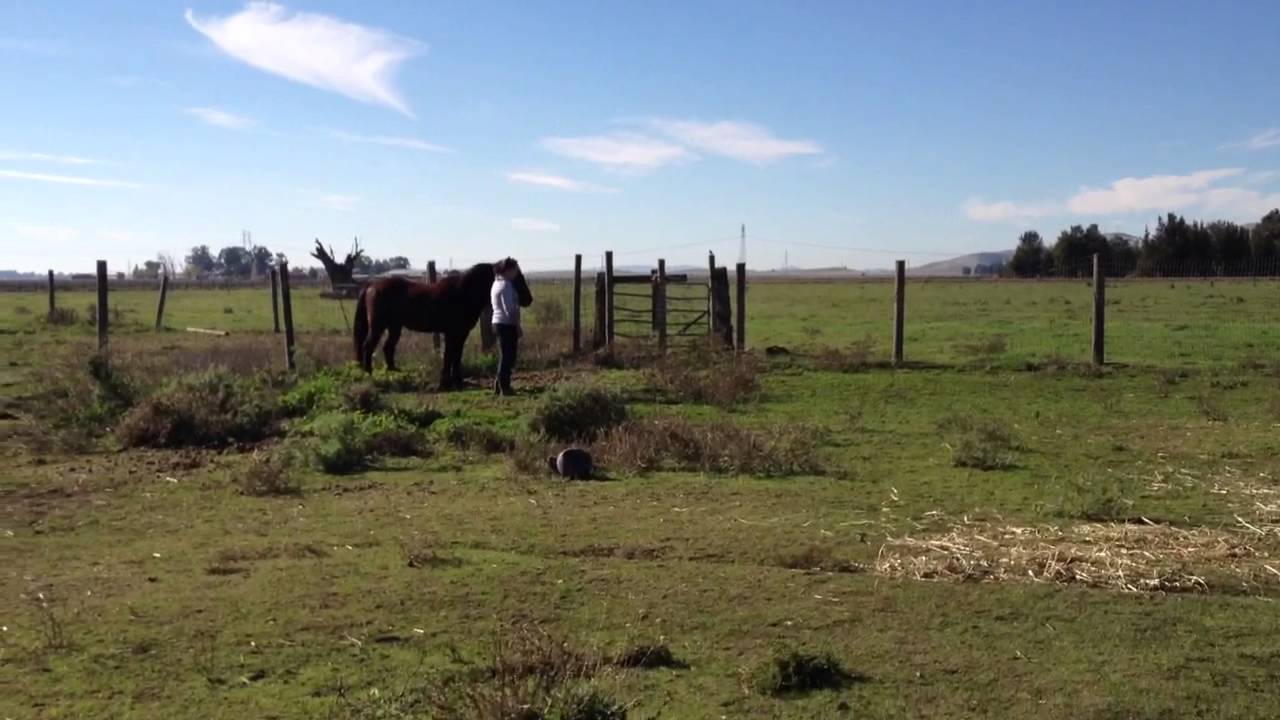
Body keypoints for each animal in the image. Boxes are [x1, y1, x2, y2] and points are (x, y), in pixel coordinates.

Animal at [352, 259, 533, 389]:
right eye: (517, 277)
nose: (529, 299)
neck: (462, 294)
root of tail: (371, 285)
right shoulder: (452, 333)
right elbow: (449, 355)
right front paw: (446, 382)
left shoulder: (461, 334)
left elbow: (456, 356)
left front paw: (457, 381)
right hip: (378, 326)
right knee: (368, 346)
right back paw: (369, 374)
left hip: (394, 327)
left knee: (388, 347)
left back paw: (394, 373)